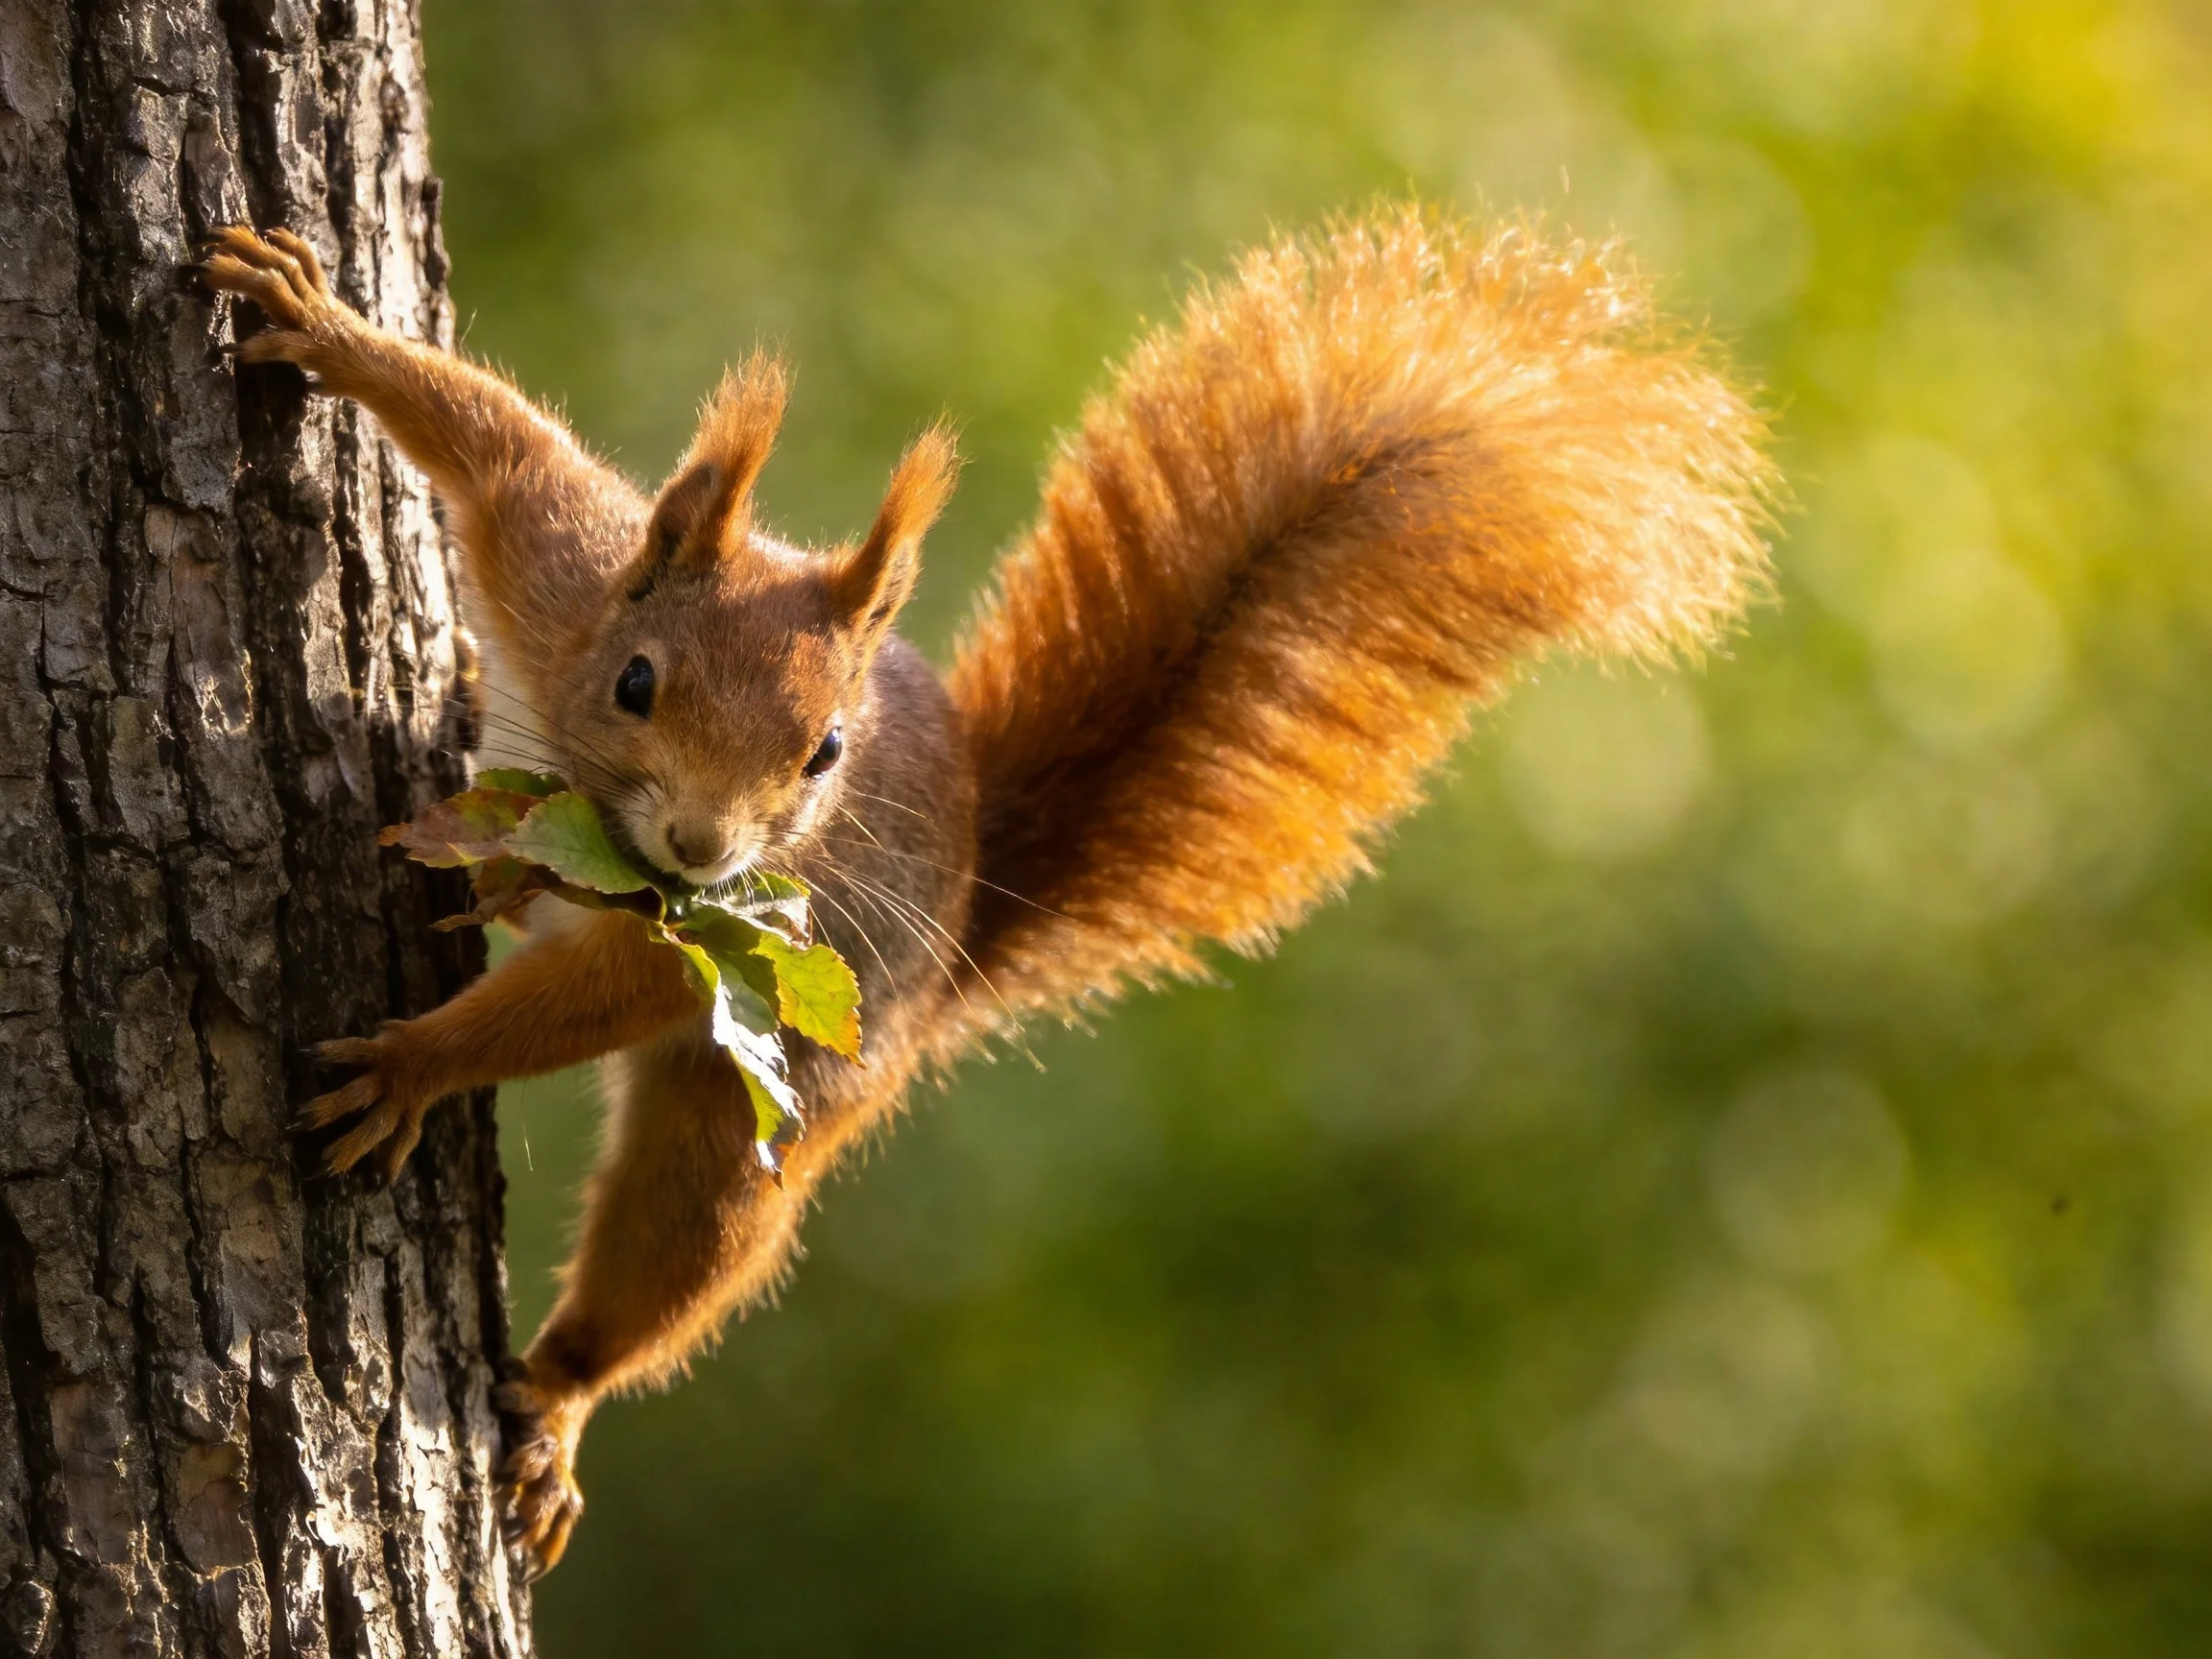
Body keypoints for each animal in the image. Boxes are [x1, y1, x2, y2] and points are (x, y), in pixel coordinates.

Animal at [200, 206, 1773, 1576]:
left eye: (825, 755)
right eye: (637, 683)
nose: (703, 852)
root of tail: (957, 938)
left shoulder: (726, 933)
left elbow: (608, 987)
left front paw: (413, 1064)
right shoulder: (558, 558)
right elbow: (486, 433)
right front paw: (319, 322)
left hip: (773, 1100)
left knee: (675, 1250)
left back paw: (560, 1407)